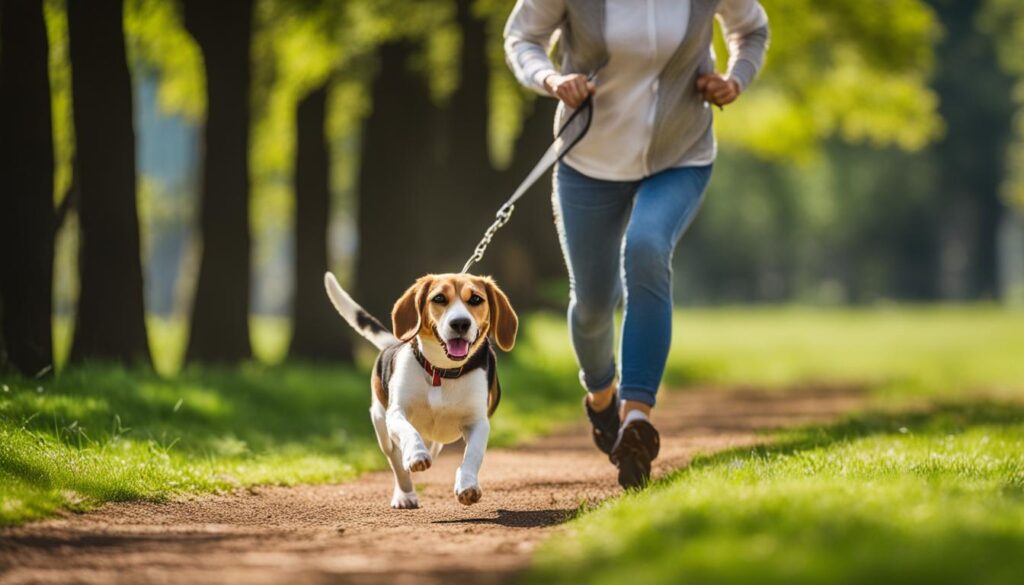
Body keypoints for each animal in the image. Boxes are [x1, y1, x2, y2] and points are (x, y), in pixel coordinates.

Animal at [323, 274, 516, 508]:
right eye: (439, 298)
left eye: (476, 299)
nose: (460, 323)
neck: (441, 371)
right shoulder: (396, 413)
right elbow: (408, 432)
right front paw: (416, 455)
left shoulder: (477, 422)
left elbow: (473, 454)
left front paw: (467, 485)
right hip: (381, 427)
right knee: (397, 462)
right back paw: (405, 494)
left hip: (435, 441)